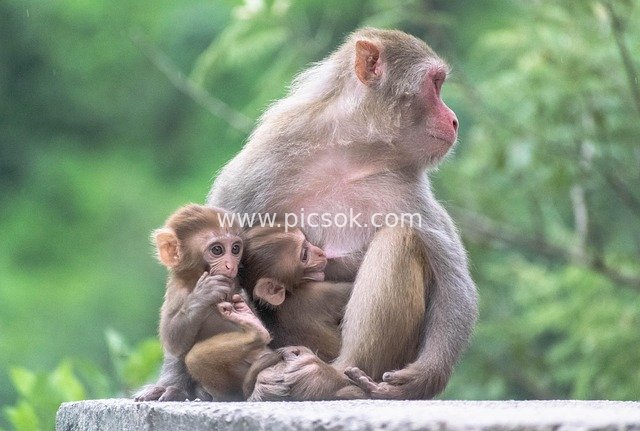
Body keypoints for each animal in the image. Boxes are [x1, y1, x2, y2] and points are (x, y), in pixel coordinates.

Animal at [133, 204, 271, 402]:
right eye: (217, 250)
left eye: (235, 249)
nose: (231, 265)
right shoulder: (177, 292)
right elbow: (173, 340)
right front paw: (203, 295)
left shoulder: (237, 289)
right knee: (196, 359)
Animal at [207, 28, 478, 400]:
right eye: (435, 84)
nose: (454, 119)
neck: (352, 153)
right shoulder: (265, 160)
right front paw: (171, 382)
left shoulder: (408, 190)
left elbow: (453, 284)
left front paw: (424, 377)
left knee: (400, 239)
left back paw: (332, 379)